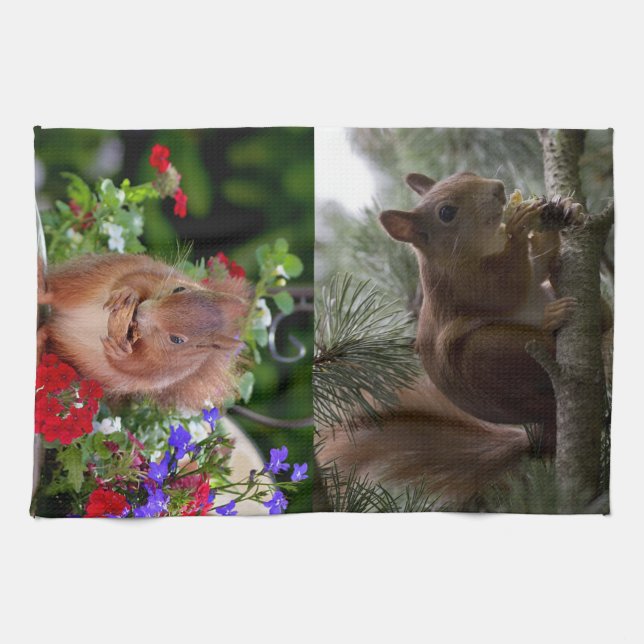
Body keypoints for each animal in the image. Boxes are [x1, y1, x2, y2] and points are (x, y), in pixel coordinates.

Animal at [38, 253, 252, 411]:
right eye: (179, 289)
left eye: (177, 340)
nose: (141, 311)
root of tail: (60, 318)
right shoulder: (155, 275)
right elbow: (135, 278)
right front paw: (127, 293)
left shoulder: (162, 371)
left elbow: (130, 366)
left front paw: (120, 352)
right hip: (83, 281)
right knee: (55, 294)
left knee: (49, 328)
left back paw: (41, 336)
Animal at [317, 171, 611, 507]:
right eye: (446, 213)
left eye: (465, 175)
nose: (498, 189)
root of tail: (540, 430)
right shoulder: (465, 287)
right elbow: (507, 286)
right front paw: (519, 225)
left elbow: (539, 264)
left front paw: (564, 208)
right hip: (489, 355)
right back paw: (554, 321)